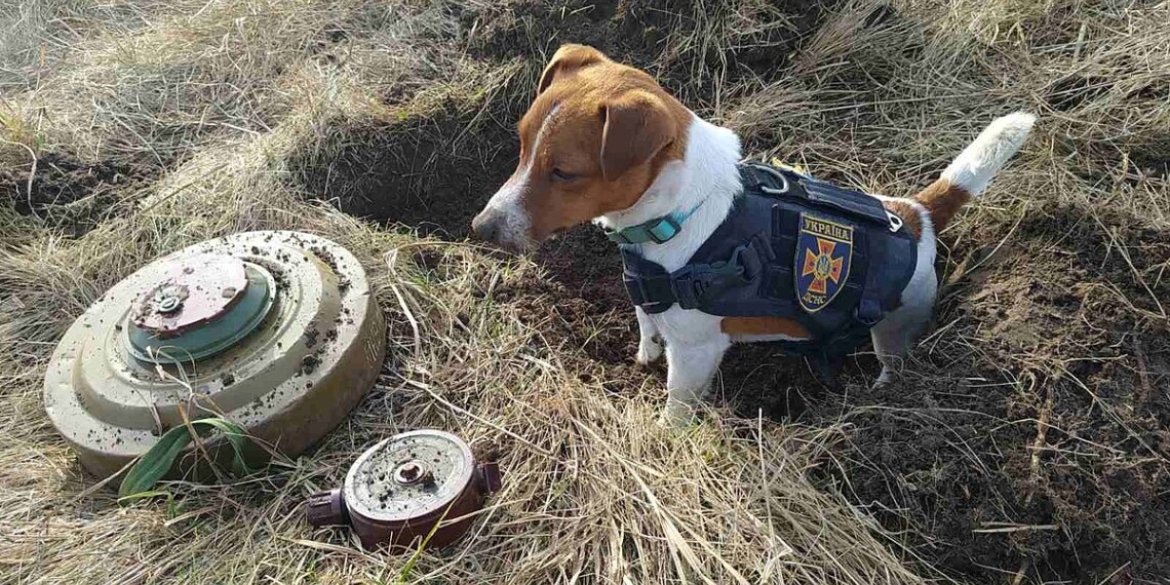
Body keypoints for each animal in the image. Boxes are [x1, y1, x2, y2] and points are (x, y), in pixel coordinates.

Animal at [465, 42, 1034, 425]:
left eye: (564, 172)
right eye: (521, 145)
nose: (481, 227)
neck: (679, 211)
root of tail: (915, 213)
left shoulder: (696, 353)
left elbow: (676, 404)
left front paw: (666, 433)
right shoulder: (649, 301)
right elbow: (648, 330)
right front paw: (642, 360)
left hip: (896, 328)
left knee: (893, 362)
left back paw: (879, 395)